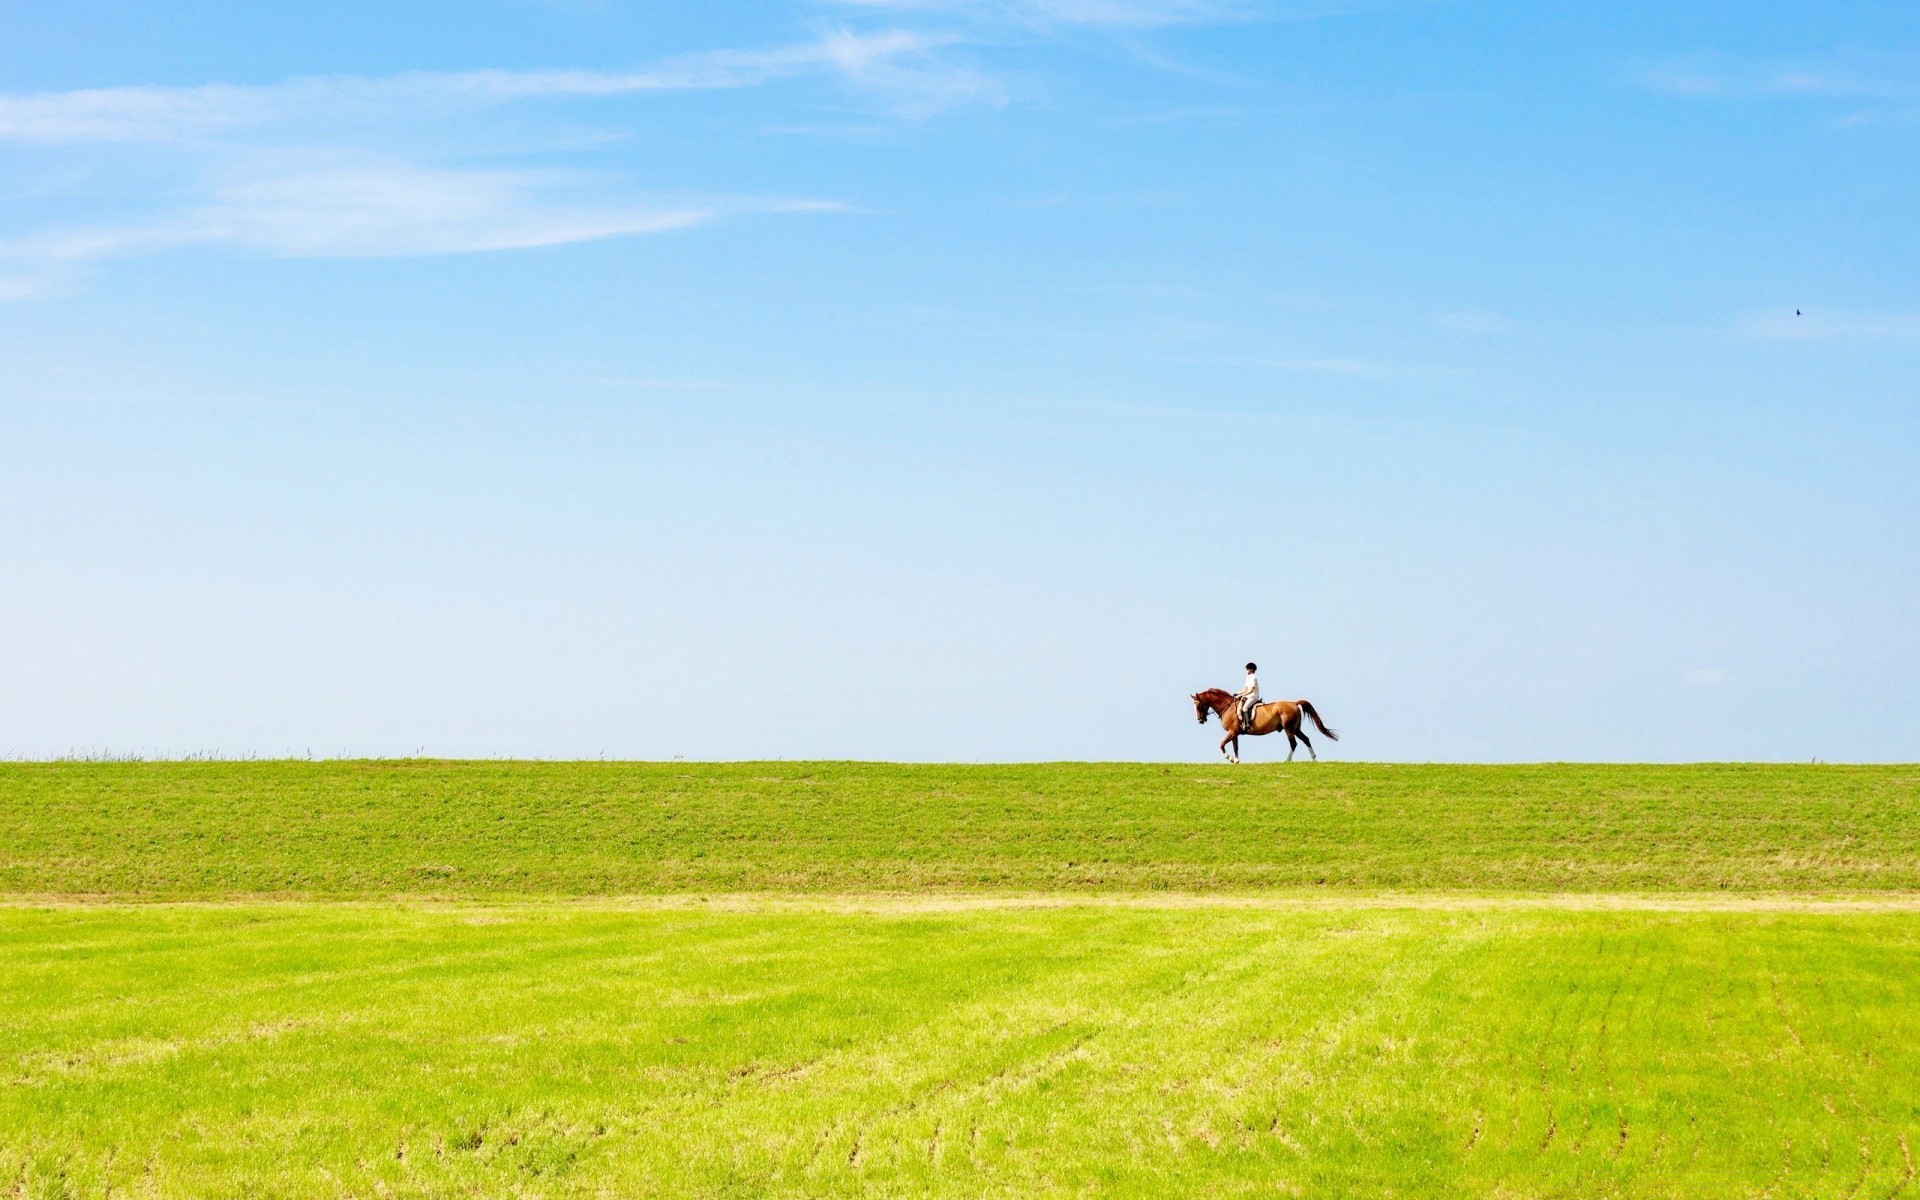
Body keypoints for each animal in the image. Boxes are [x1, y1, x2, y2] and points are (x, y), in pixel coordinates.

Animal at [1190, 687, 1344, 764]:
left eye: (1198, 705)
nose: (1200, 720)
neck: (1227, 707)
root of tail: (1293, 703)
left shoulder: (1232, 732)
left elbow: (1221, 745)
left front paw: (1230, 759)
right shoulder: (1235, 733)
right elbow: (1235, 747)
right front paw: (1237, 760)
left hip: (1289, 729)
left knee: (1293, 743)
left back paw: (1287, 761)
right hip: (1295, 728)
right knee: (1306, 739)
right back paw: (1313, 759)